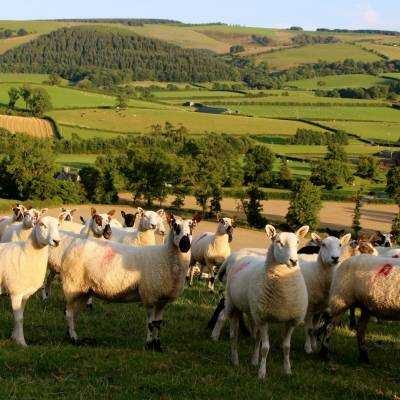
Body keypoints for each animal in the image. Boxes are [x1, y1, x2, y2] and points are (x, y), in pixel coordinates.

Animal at [0, 217, 60, 346]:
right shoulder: (16, 293)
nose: (57, 241)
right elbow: (18, 318)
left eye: (58, 224)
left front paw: (14, 337)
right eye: (42, 224)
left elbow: (20, 317)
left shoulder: (25, 295)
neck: (25, 254)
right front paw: (21, 342)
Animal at [56, 212, 200, 350]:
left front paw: (157, 345)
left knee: (74, 313)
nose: (185, 245)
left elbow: (158, 324)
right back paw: (74, 338)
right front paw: (148, 345)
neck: (165, 257)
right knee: (69, 313)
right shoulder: (149, 296)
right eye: (175, 225)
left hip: (83, 290)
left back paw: (71, 335)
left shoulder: (162, 300)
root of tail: (74, 244)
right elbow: (150, 324)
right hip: (72, 284)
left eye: (193, 226)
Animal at [212, 225, 310, 378]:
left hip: (249, 310)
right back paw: (233, 357)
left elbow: (286, 347)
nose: (293, 261)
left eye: (298, 242)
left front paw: (287, 370)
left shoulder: (291, 321)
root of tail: (237, 255)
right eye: (278, 242)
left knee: (252, 336)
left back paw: (252, 360)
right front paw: (262, 373)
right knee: (230, 329)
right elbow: (265, 348)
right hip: (232, 304)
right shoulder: (264, 318)